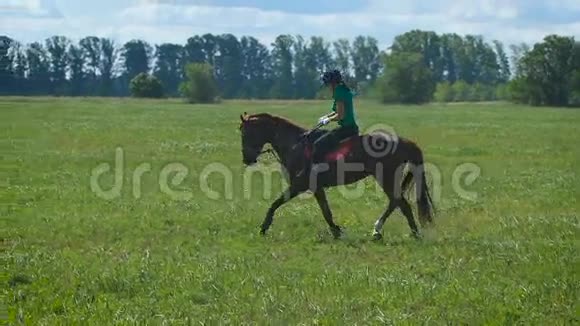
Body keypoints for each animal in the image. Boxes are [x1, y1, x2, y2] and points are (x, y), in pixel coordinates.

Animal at [238, 112, 432, 239]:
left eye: (246, 133)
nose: (247, 159)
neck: (295, 145)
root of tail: (402, 141)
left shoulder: (299, 185)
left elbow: (275, 203)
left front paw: (263, 227)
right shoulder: (316, 188)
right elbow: (326, 211)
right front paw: (337, 231)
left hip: (386, 177)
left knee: (402, 204)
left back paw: (413, 233)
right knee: (396, 202)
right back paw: (378, 230)